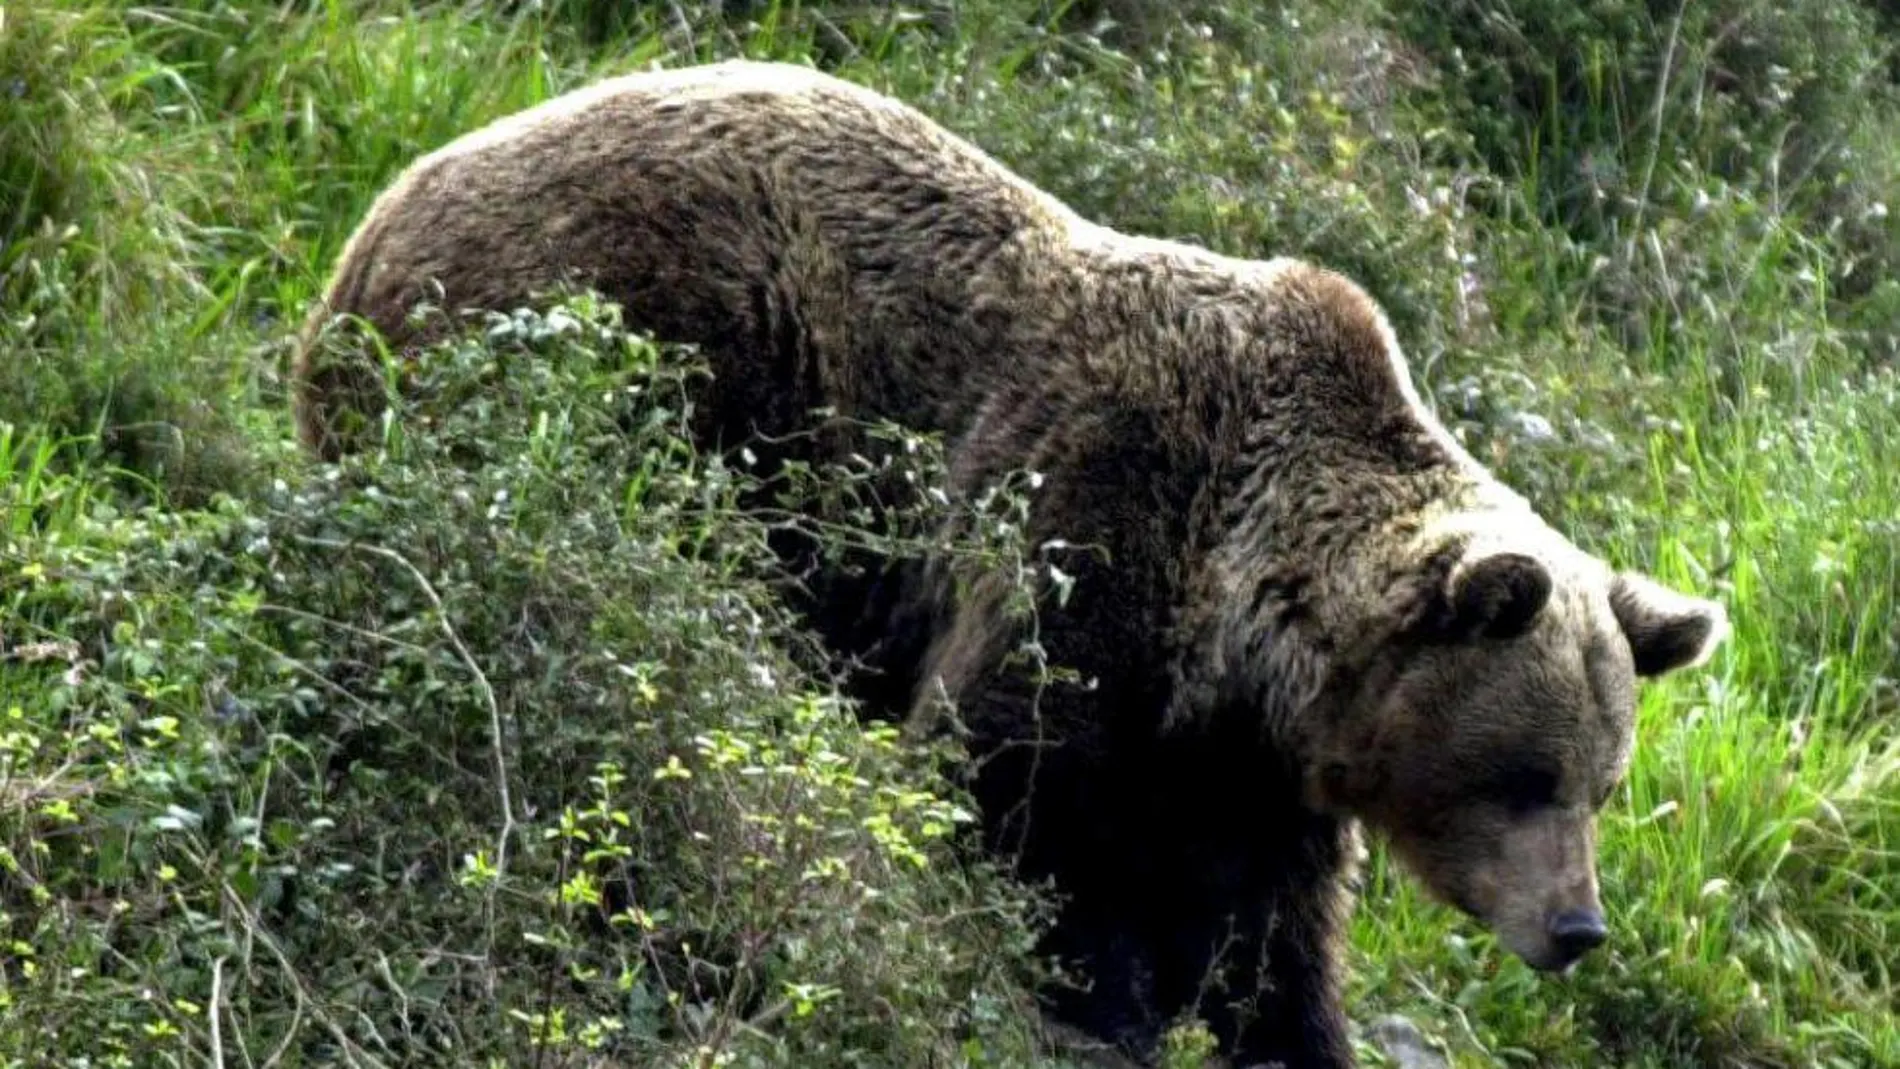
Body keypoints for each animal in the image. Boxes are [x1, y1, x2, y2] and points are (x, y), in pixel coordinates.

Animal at [288, 60, 1732, 1069]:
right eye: (1524, 774)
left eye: (1603, 784)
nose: (1577, 929)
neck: (1242, 616)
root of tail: (369, 224)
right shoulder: (1085, 536)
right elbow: (1018, 794)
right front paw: (1098, 1000)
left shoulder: (1249, 761)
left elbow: (1266, 929)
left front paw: (1293, 1029)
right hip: (630, 347)